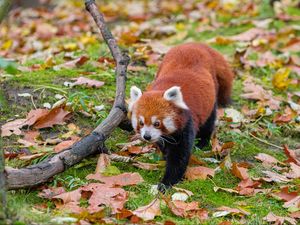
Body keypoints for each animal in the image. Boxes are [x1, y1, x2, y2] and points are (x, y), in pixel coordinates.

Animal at [127, 42, 233, 192]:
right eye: (141, 123)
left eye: (157, 123)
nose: (147, 136)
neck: (161, 89)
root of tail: (195, 45)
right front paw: (164, 154)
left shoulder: (187, 123)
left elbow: (179, 156)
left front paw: (166, 183)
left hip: (211, 96)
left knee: (208, 121)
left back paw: (202, 141)